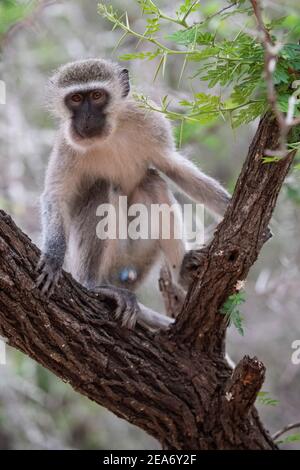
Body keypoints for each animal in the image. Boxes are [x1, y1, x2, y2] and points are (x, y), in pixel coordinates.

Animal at [37, 58, 230, 328]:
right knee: (101, 187)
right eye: (75, 99)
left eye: (97, 96)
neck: (109, 134)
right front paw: (53, 257)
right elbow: (57, 196)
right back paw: (92, 286)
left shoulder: (151, 121)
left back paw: (181, 272)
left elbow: (174, 167)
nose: (86, 117)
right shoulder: (67, 144)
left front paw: (230, 206)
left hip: (136, 260)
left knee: (152, 182)